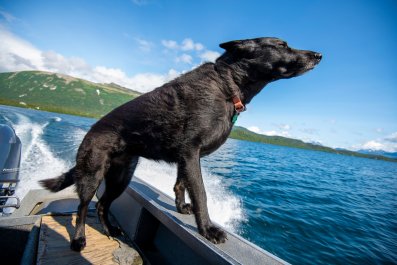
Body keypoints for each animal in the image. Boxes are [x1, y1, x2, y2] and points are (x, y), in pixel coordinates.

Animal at [40, 36, 320, 250]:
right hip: (93, 174)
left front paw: (182, 206)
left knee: (102, 205)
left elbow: (180, 184)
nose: (318, 54)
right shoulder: (191, 153)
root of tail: (91, 130)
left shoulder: (187, 157)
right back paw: (78, 240)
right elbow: (201, 194)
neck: (227, 85)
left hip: (122, 177)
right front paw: (207, 229)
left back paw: (110, 229)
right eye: (282, 45)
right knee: (82, 207)